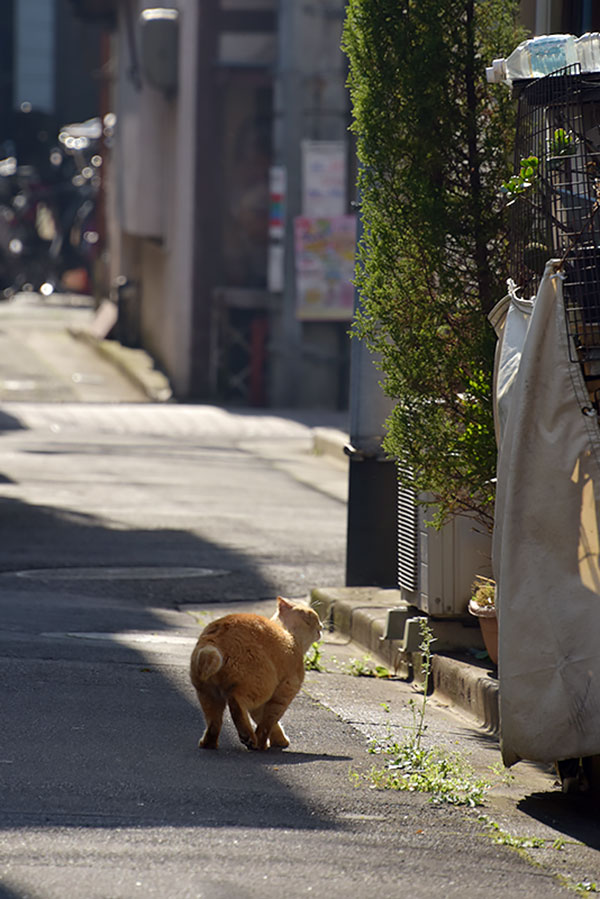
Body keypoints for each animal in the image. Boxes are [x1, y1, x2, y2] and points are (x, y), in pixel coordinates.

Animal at [190, 596, 322, 752]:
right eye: (312, 615)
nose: (321, 625)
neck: (290, 636)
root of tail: (211, 642)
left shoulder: (262, 704)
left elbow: (267, 722)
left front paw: (278, 741)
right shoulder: (284, 692)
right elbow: (268, 722)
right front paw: (262, 744)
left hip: (208, 694)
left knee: (214, 723)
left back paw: (209, 743)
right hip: (261, 686)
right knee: (235, 704)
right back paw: (249, 738)